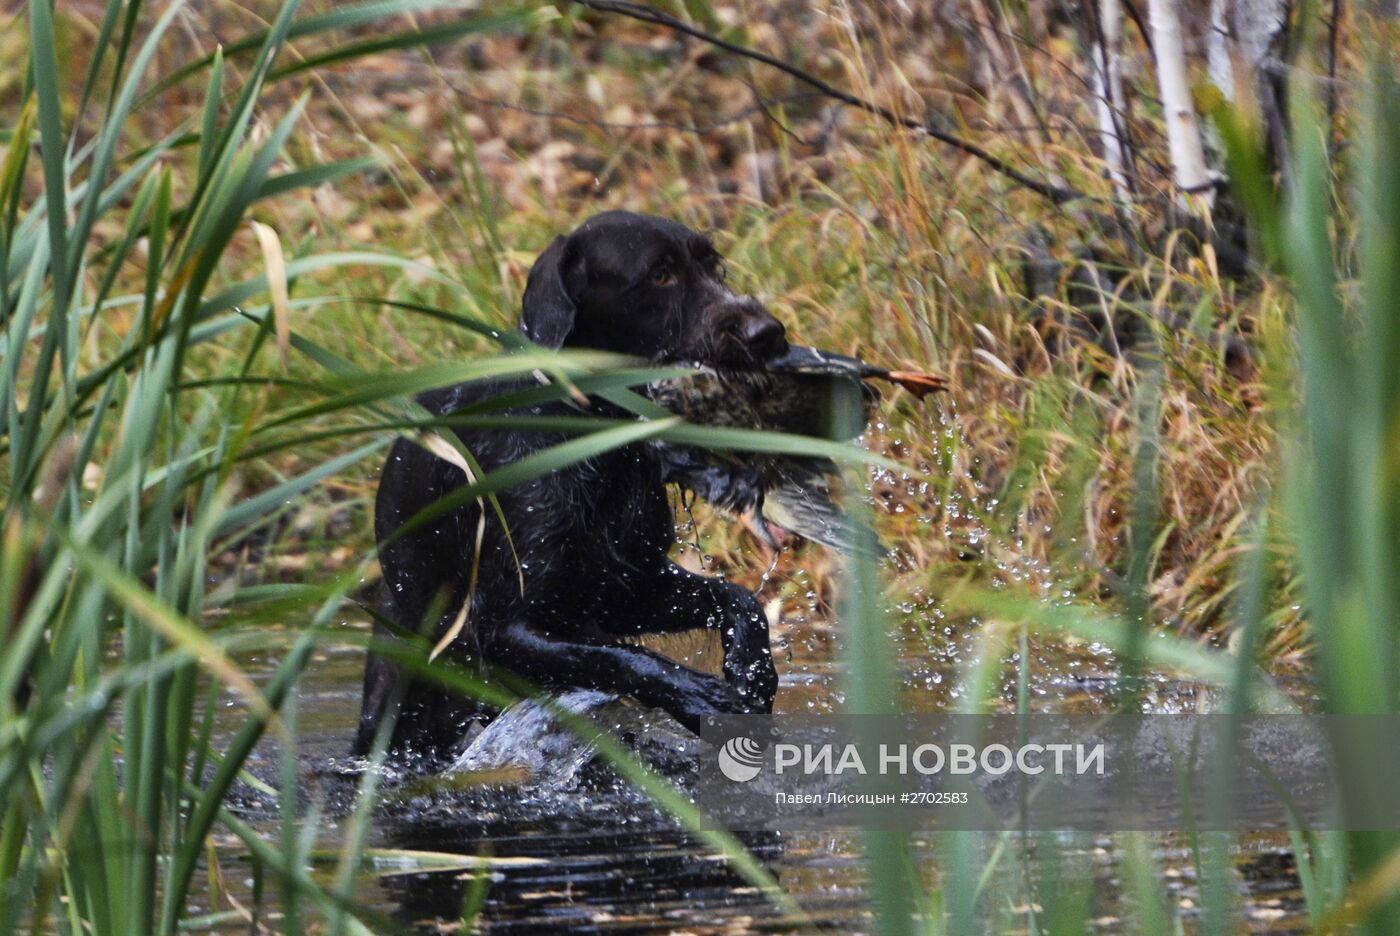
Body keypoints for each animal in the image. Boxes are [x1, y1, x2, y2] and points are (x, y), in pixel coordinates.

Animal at [352, 211, 789, 766]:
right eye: (660, 274)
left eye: (715, 266)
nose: (768, 332)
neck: (593, 439)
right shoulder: (506, 628)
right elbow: (621, 658)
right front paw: (700, 699)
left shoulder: (624, 589)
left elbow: (736, 598)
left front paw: (753, 668)